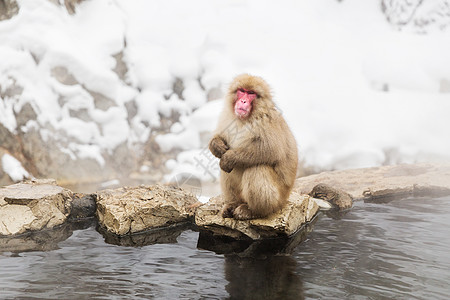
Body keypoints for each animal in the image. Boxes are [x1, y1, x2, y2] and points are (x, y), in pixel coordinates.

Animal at [210, 74, 298, 220]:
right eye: (242, 91)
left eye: (251, 93)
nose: (243, 101)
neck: (245, 119)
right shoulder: (226, 117)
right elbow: (221, 138)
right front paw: (216, 145)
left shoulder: (266, 121)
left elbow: (270, 150)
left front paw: (229, 158)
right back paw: (233, 204)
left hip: (278, 198)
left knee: (257, 167)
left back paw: (253, 211)